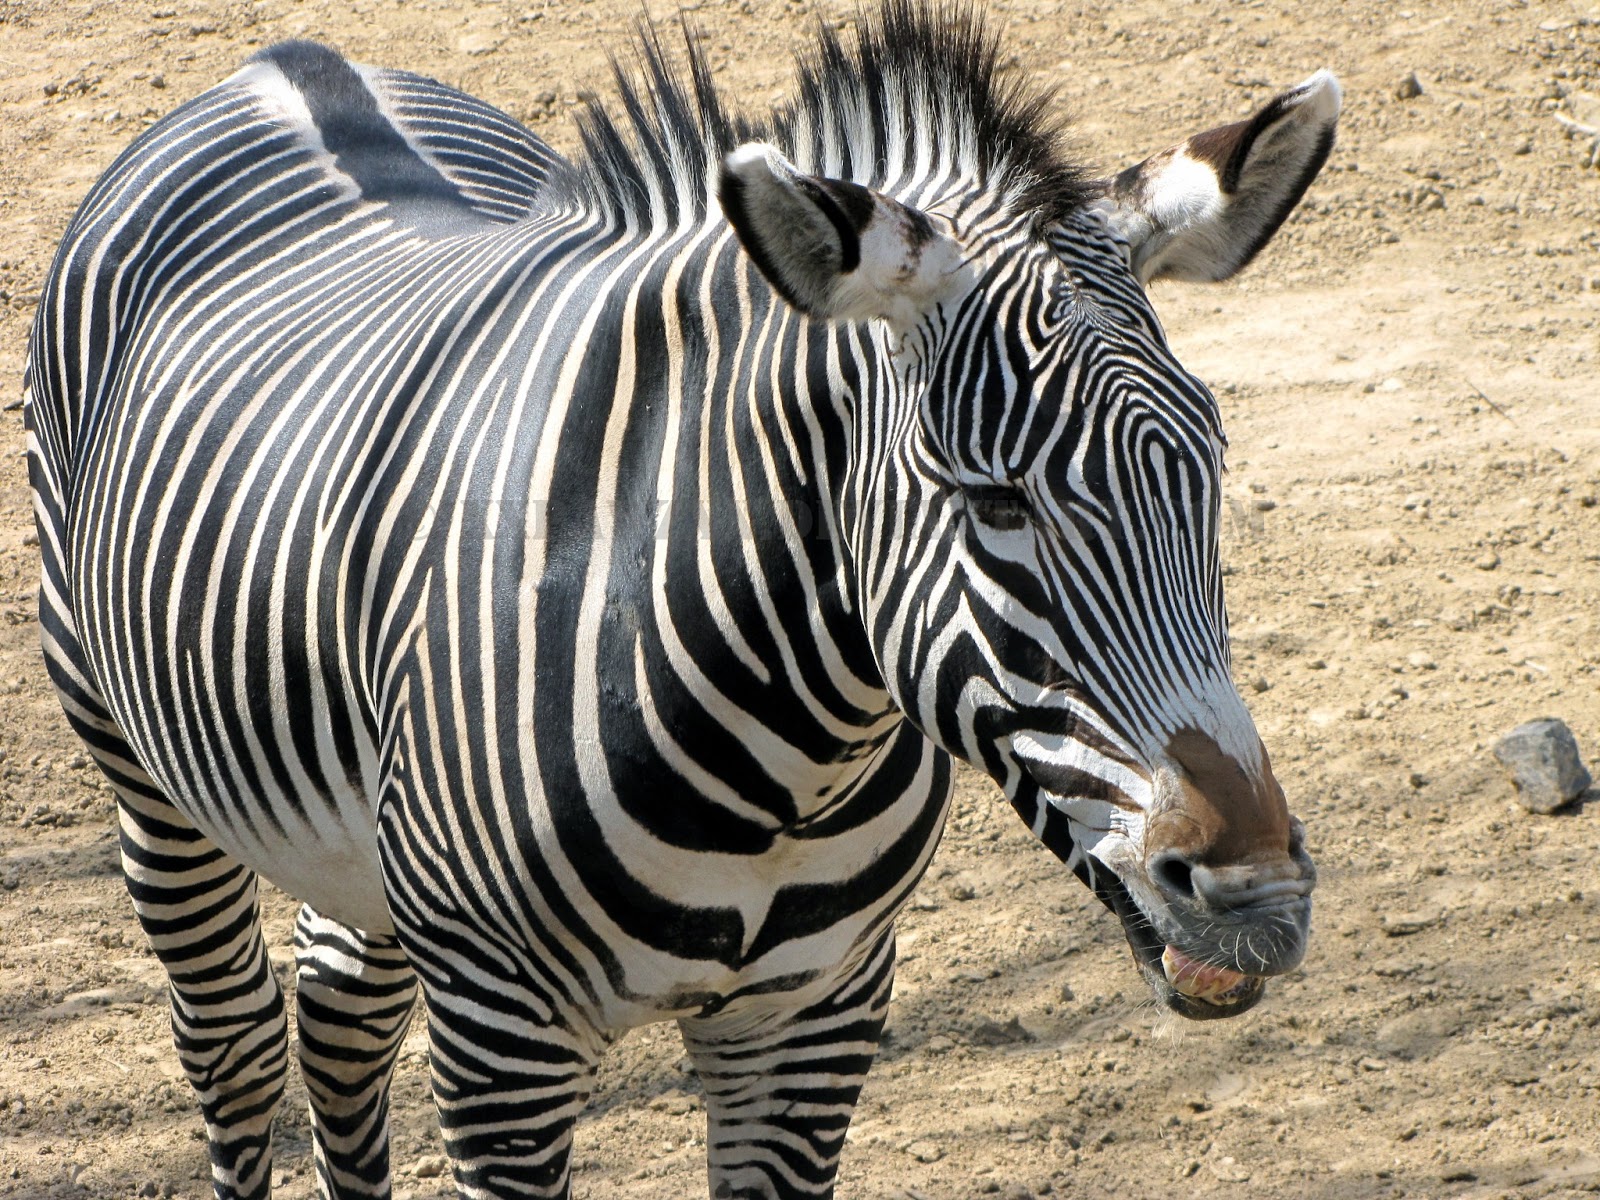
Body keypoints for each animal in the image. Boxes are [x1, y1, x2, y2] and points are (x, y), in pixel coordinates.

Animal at [25, 4, 1338, 1198]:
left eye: (1208, 470)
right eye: (993, 503)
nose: (1255, 896)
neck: (790, 768)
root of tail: (293, 61)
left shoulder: (816, 1021)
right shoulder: (501, 1042)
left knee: (340, 1013)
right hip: (139, 768)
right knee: (234, 1041)